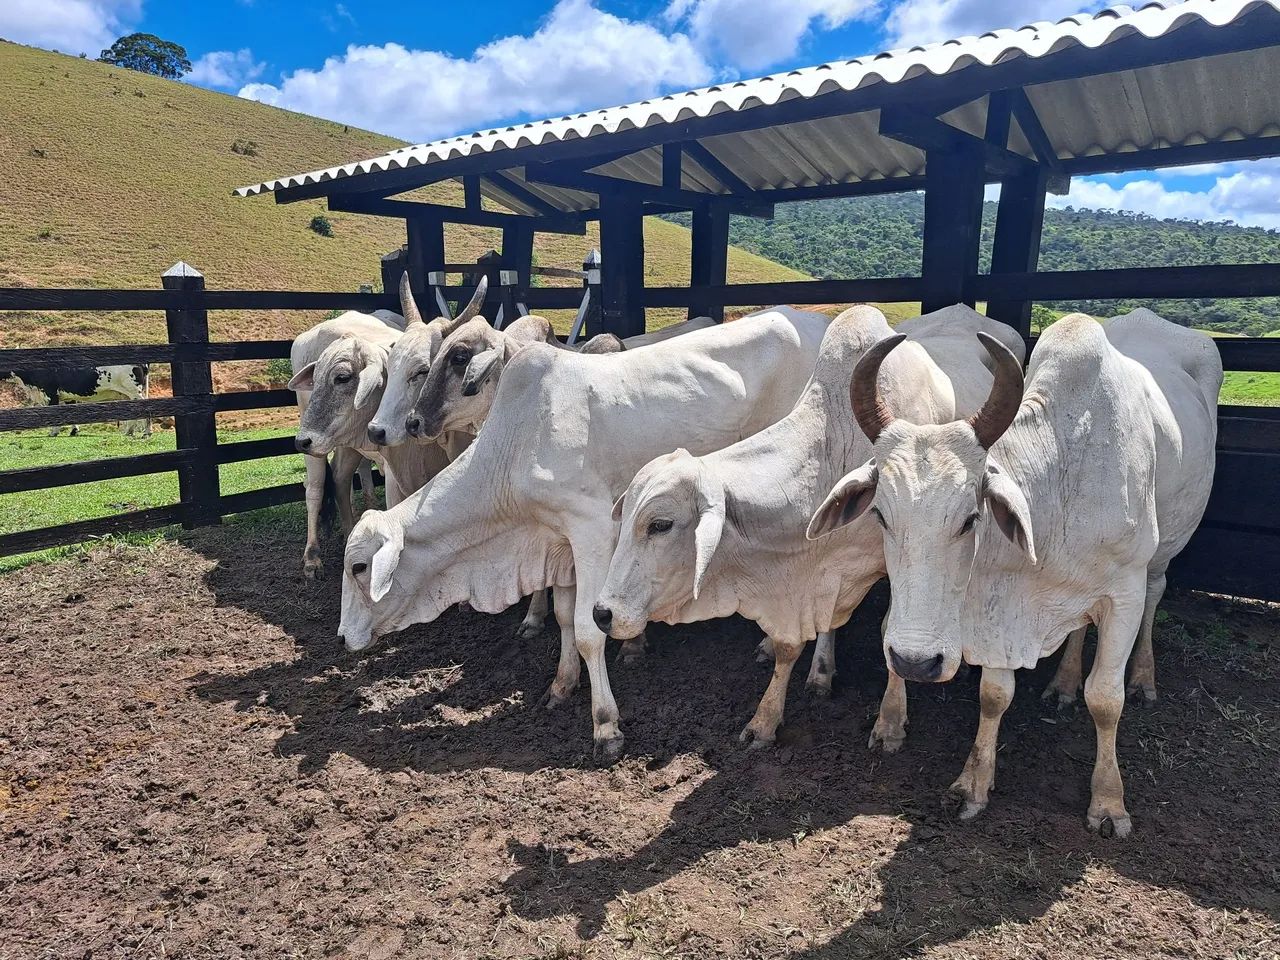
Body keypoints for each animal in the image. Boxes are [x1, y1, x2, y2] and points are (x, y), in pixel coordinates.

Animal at [1, 364, 150, 437]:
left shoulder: (51, 394)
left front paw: (53, 432)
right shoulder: (69, 397)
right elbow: (71, 414)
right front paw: (74, 431)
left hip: (134, 392)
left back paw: (146, 433)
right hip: (127, 395)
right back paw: (129, 432)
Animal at [338, 306, 832, 763]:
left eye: (359, 567)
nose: (342, 638)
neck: (518, 443)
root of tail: (813, 321)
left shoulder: (592, 531)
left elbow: (589, 629)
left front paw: (605, 726)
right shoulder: (558, 542)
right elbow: (562, 617)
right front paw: (561, 684)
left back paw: (817, 669)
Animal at [593, 304, 1026, 750]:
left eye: (660, 524)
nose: (602, 614)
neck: (836, 448)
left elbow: (890, 633)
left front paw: (889, 720)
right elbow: (794, 642)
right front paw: (771, 713)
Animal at [808, 309, 1220, 836]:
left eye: (971, 518)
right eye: (880, 514)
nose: (913, 662)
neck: (1061, 486)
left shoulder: (1122, 594)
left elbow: (1106, 699)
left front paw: (1109, 803)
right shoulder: (1003, 605)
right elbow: (994, 695)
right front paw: (973, 784)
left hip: (1163, 552)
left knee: (1155, 595)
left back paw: (1143, 677)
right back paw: (1063, 684)